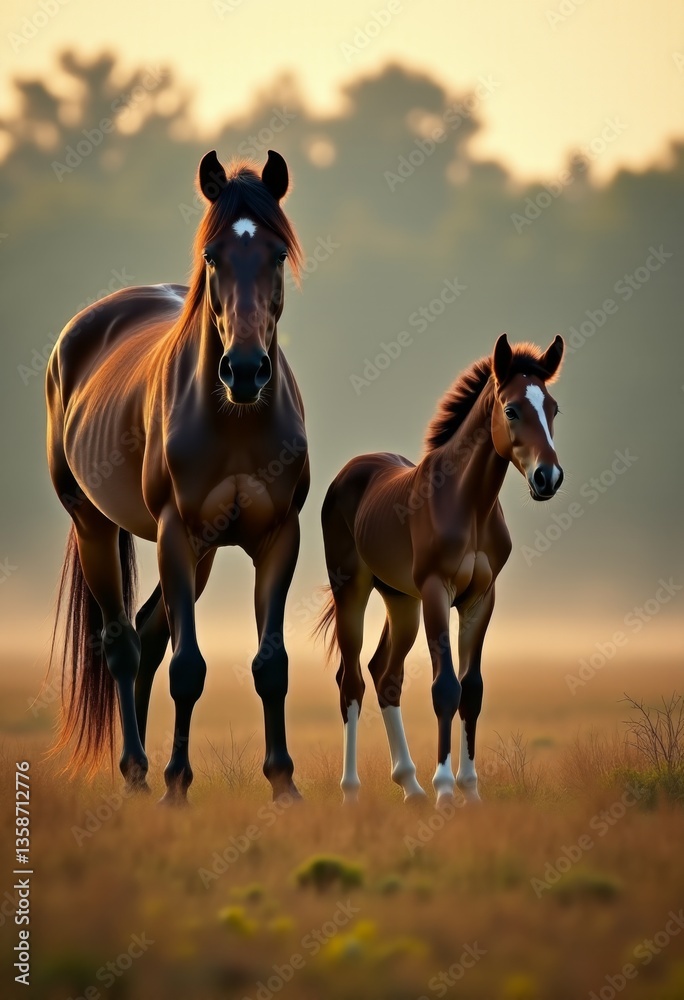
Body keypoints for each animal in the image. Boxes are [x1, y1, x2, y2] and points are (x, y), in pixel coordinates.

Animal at [46, 149, 309, 804]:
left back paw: (140, 772)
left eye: (276, 253)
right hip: (97, 527)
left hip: (205, 553)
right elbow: (187, 667)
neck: (236, 419)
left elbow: (271, 664)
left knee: (147, 635)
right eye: (213, 255)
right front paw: (176, 789)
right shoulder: (175, 534)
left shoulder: (279, 537)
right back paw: (138, 770)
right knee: (122, 643)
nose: (245, 369)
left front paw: (283, 784)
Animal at [316, 333, 565, 806]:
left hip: (400, 600)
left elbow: (473, 689)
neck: (468, 504)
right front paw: (446, 788)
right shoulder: (436, 591)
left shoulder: (480, 599)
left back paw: (410, 785)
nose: (549, 478)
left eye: (554, 408)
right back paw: (352, 792)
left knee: (385, 675)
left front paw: (471, 789)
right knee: (350, 680)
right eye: (511, 409)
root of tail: (350, 471)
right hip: (353, 590)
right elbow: (445, 687)